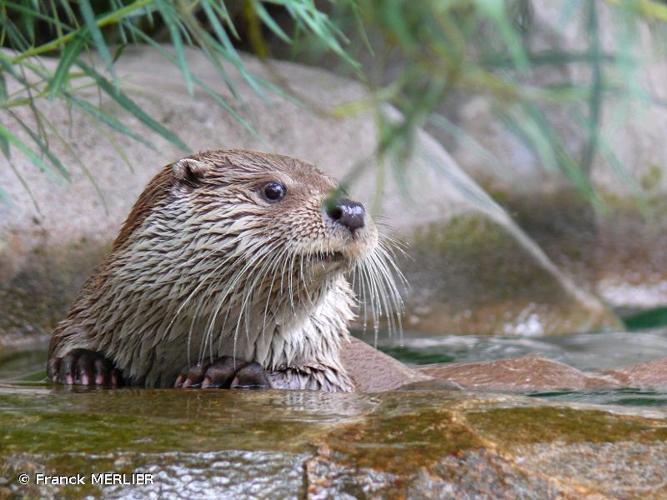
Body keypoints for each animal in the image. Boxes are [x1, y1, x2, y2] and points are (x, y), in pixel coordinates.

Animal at [47, 150, 404, 392]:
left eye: (342, 190)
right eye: (274, 190)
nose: (351, 210)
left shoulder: (325, 358)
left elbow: (321, 379)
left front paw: (231, 371)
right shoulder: (95, 306)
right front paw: (84, 363)